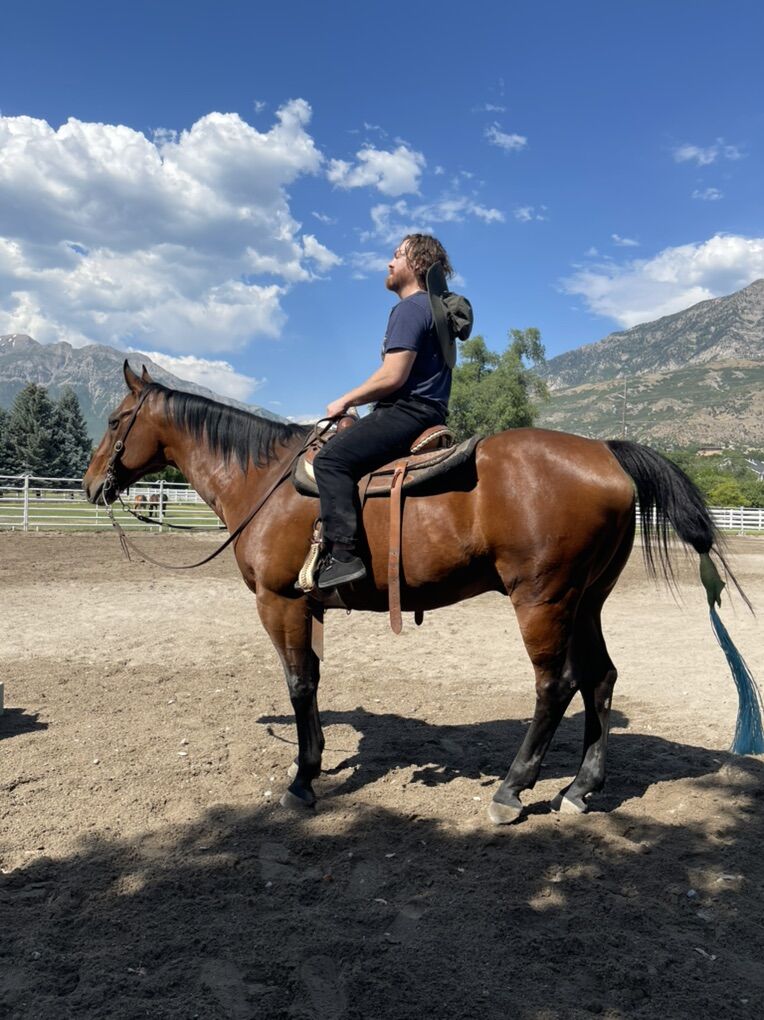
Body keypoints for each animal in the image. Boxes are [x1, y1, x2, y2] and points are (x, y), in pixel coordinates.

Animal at [83, 362, 757, 823]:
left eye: (116, 421)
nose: (90, 485)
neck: (266, 482)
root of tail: (606, 453)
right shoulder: (309, 606)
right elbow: (314, 683)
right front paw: (313, 758)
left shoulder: (280, 602)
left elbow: (298, 683)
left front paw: (302, 782)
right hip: (586, 601)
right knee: (600, 679)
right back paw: (579, 789)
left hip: (542, 600)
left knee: (557, 684)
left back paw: (513, 790)